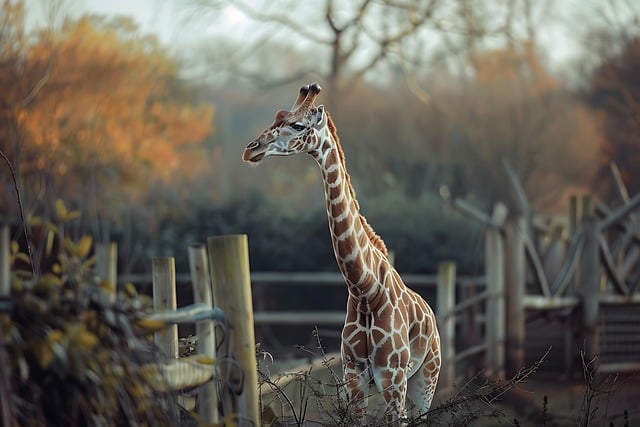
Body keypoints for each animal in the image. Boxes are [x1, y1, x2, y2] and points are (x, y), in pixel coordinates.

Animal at [241, 83, 440, 422]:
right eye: (277, 116)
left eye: (298, 125)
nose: (251, 149)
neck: (365, 289)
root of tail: (433, 318)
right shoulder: (354, 376)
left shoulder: (392, 377)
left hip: (425, 380)